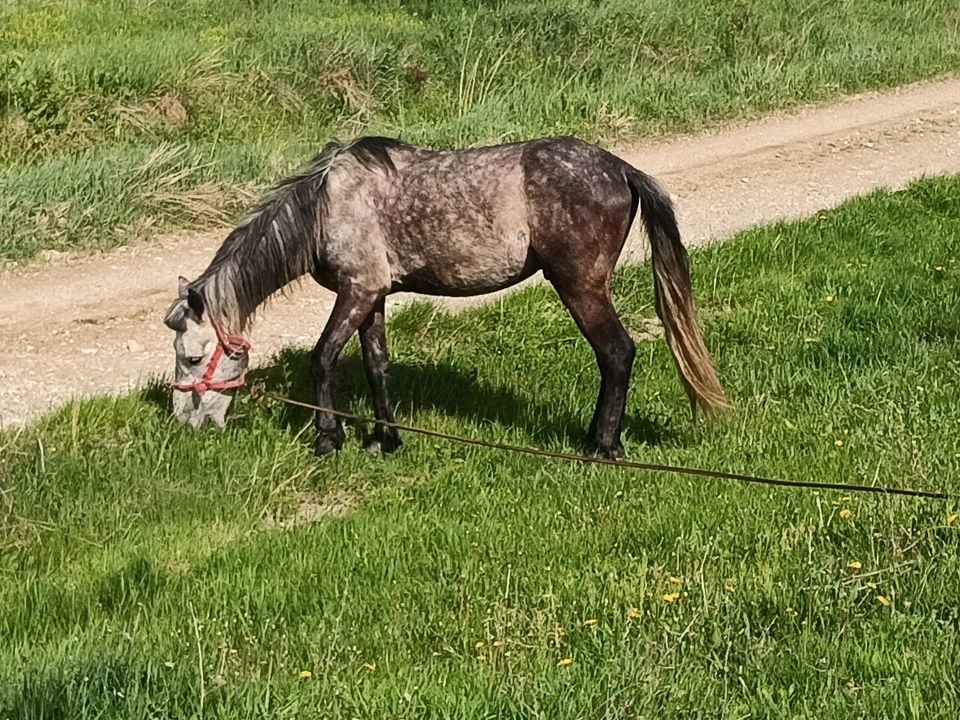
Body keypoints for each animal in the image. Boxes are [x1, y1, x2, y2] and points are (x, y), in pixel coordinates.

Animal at [165, 136, 724, 456]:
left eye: (192, 358)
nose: (185, 423)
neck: (326, 204)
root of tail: (621, 169)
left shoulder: (355, 291)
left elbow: (322, 358)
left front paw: (328, 440)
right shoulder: (374, 296)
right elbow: (376, 365)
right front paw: (385, 440)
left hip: (580, 287)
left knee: (617, 354)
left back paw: (601, 447)